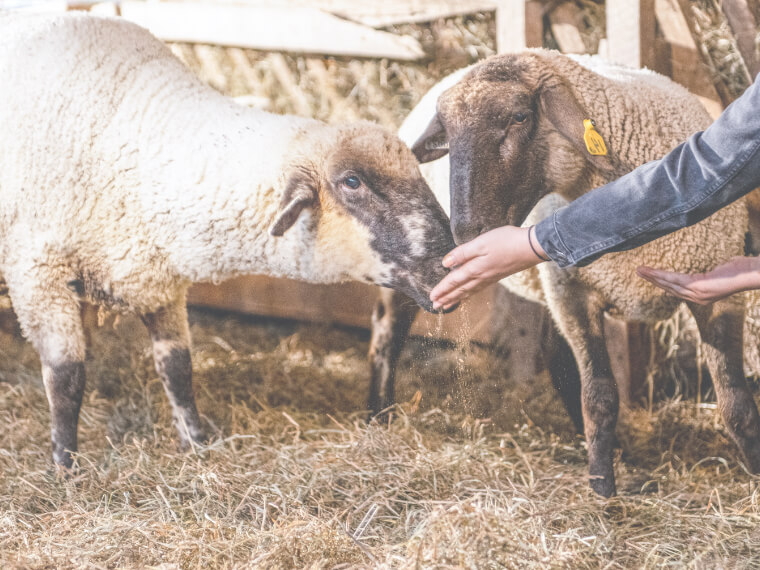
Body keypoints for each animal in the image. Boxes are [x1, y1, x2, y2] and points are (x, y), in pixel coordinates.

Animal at [0, 12, 458, 466]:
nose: (447, 266)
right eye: (352, 182)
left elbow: (177, 367)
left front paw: (196, 443)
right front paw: (65, 463)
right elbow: (66, 377)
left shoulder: (157, 280)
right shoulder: (38, 275)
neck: (136, 137)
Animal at [370, 52, 760, 496]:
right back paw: (379, 414)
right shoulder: (572, 292)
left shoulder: (714, 287)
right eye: (448, 136)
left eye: (519, 117)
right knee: (387, 329)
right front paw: (603, 489)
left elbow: (736, 402)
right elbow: (601, 397)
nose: (466, 234)